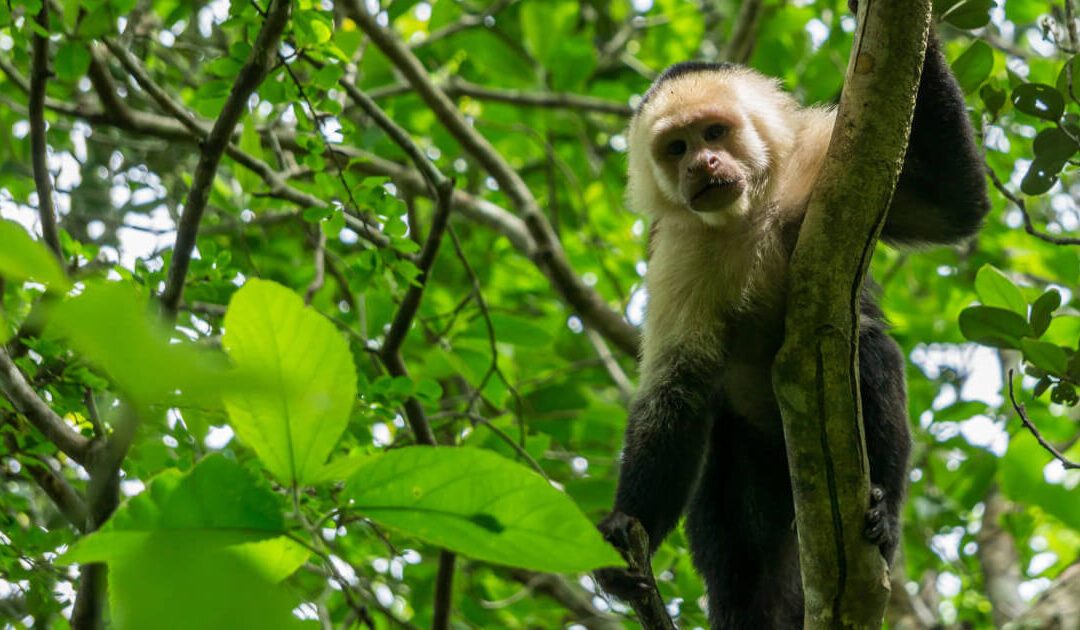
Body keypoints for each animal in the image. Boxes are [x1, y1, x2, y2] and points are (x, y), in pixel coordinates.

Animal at [596, 25, 989, 630]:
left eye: (714, 132)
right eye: (677, 148)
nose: (703, 164)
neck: (749, 210)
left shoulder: (823, 155)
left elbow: (954, 207)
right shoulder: (677, 250)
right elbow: (677, 385)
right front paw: (623, 534)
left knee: (868, 348)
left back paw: (882, 517)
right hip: (747, 450)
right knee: (735, 540)